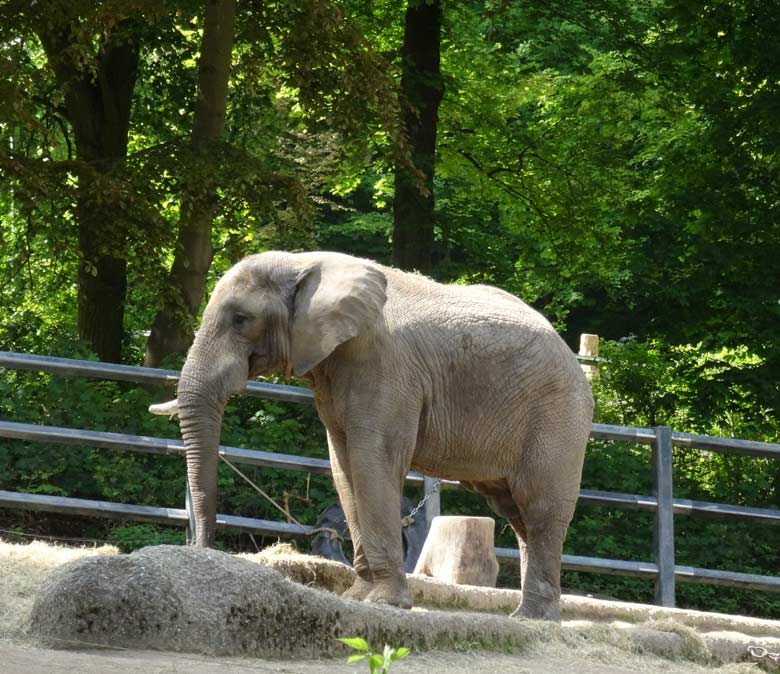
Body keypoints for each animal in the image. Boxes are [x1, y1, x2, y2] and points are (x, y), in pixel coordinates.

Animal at [151, 249, 592, 616]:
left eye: (241, 320)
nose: (203, 553)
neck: (303, 261)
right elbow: (343, 465)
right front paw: (357, 597)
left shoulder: (385, 366)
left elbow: (371, 459)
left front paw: (385, 603)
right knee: (515, 513)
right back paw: (530, 616)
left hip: (559, 416)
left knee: (539, 507)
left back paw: (533, 618)